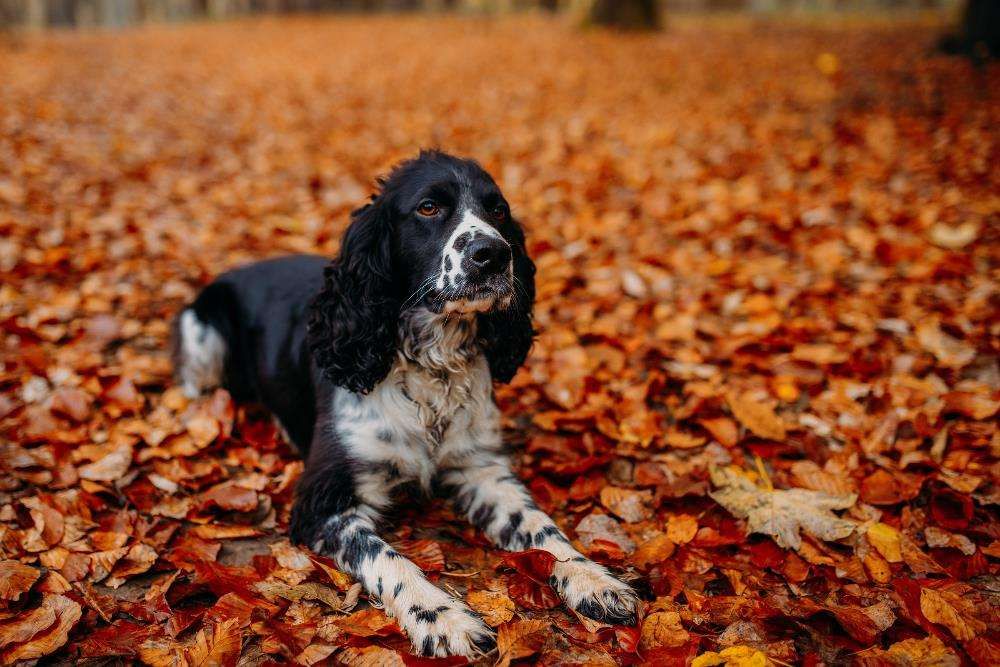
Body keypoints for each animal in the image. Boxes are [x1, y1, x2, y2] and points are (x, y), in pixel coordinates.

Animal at [173, 150, 636, 656]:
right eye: (428, 208)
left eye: (498, 211)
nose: (493, 254)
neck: (430, 363)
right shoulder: (324, 501)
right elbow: (389, 558)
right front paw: (442, 617)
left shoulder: (480, 468)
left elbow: (540, 526)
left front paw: (592, 578)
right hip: (201, 336)